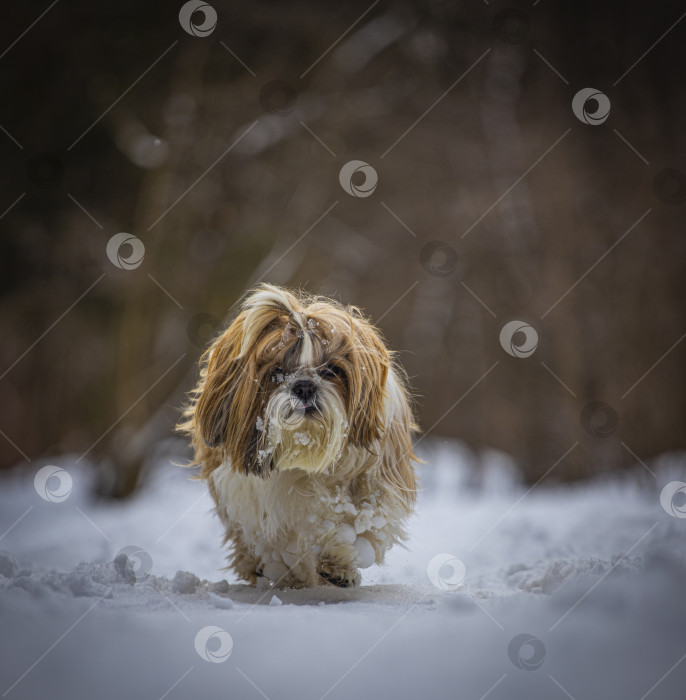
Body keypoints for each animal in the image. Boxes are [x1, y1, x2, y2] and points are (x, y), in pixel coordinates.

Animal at [179, 284, 420, 584]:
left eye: (331, 371)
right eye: (277, 372)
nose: (304, 386)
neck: (306, 448)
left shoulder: (380, 471)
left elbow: (367, 514)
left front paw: (340, 559)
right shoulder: (245, 492)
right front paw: (288, 567)